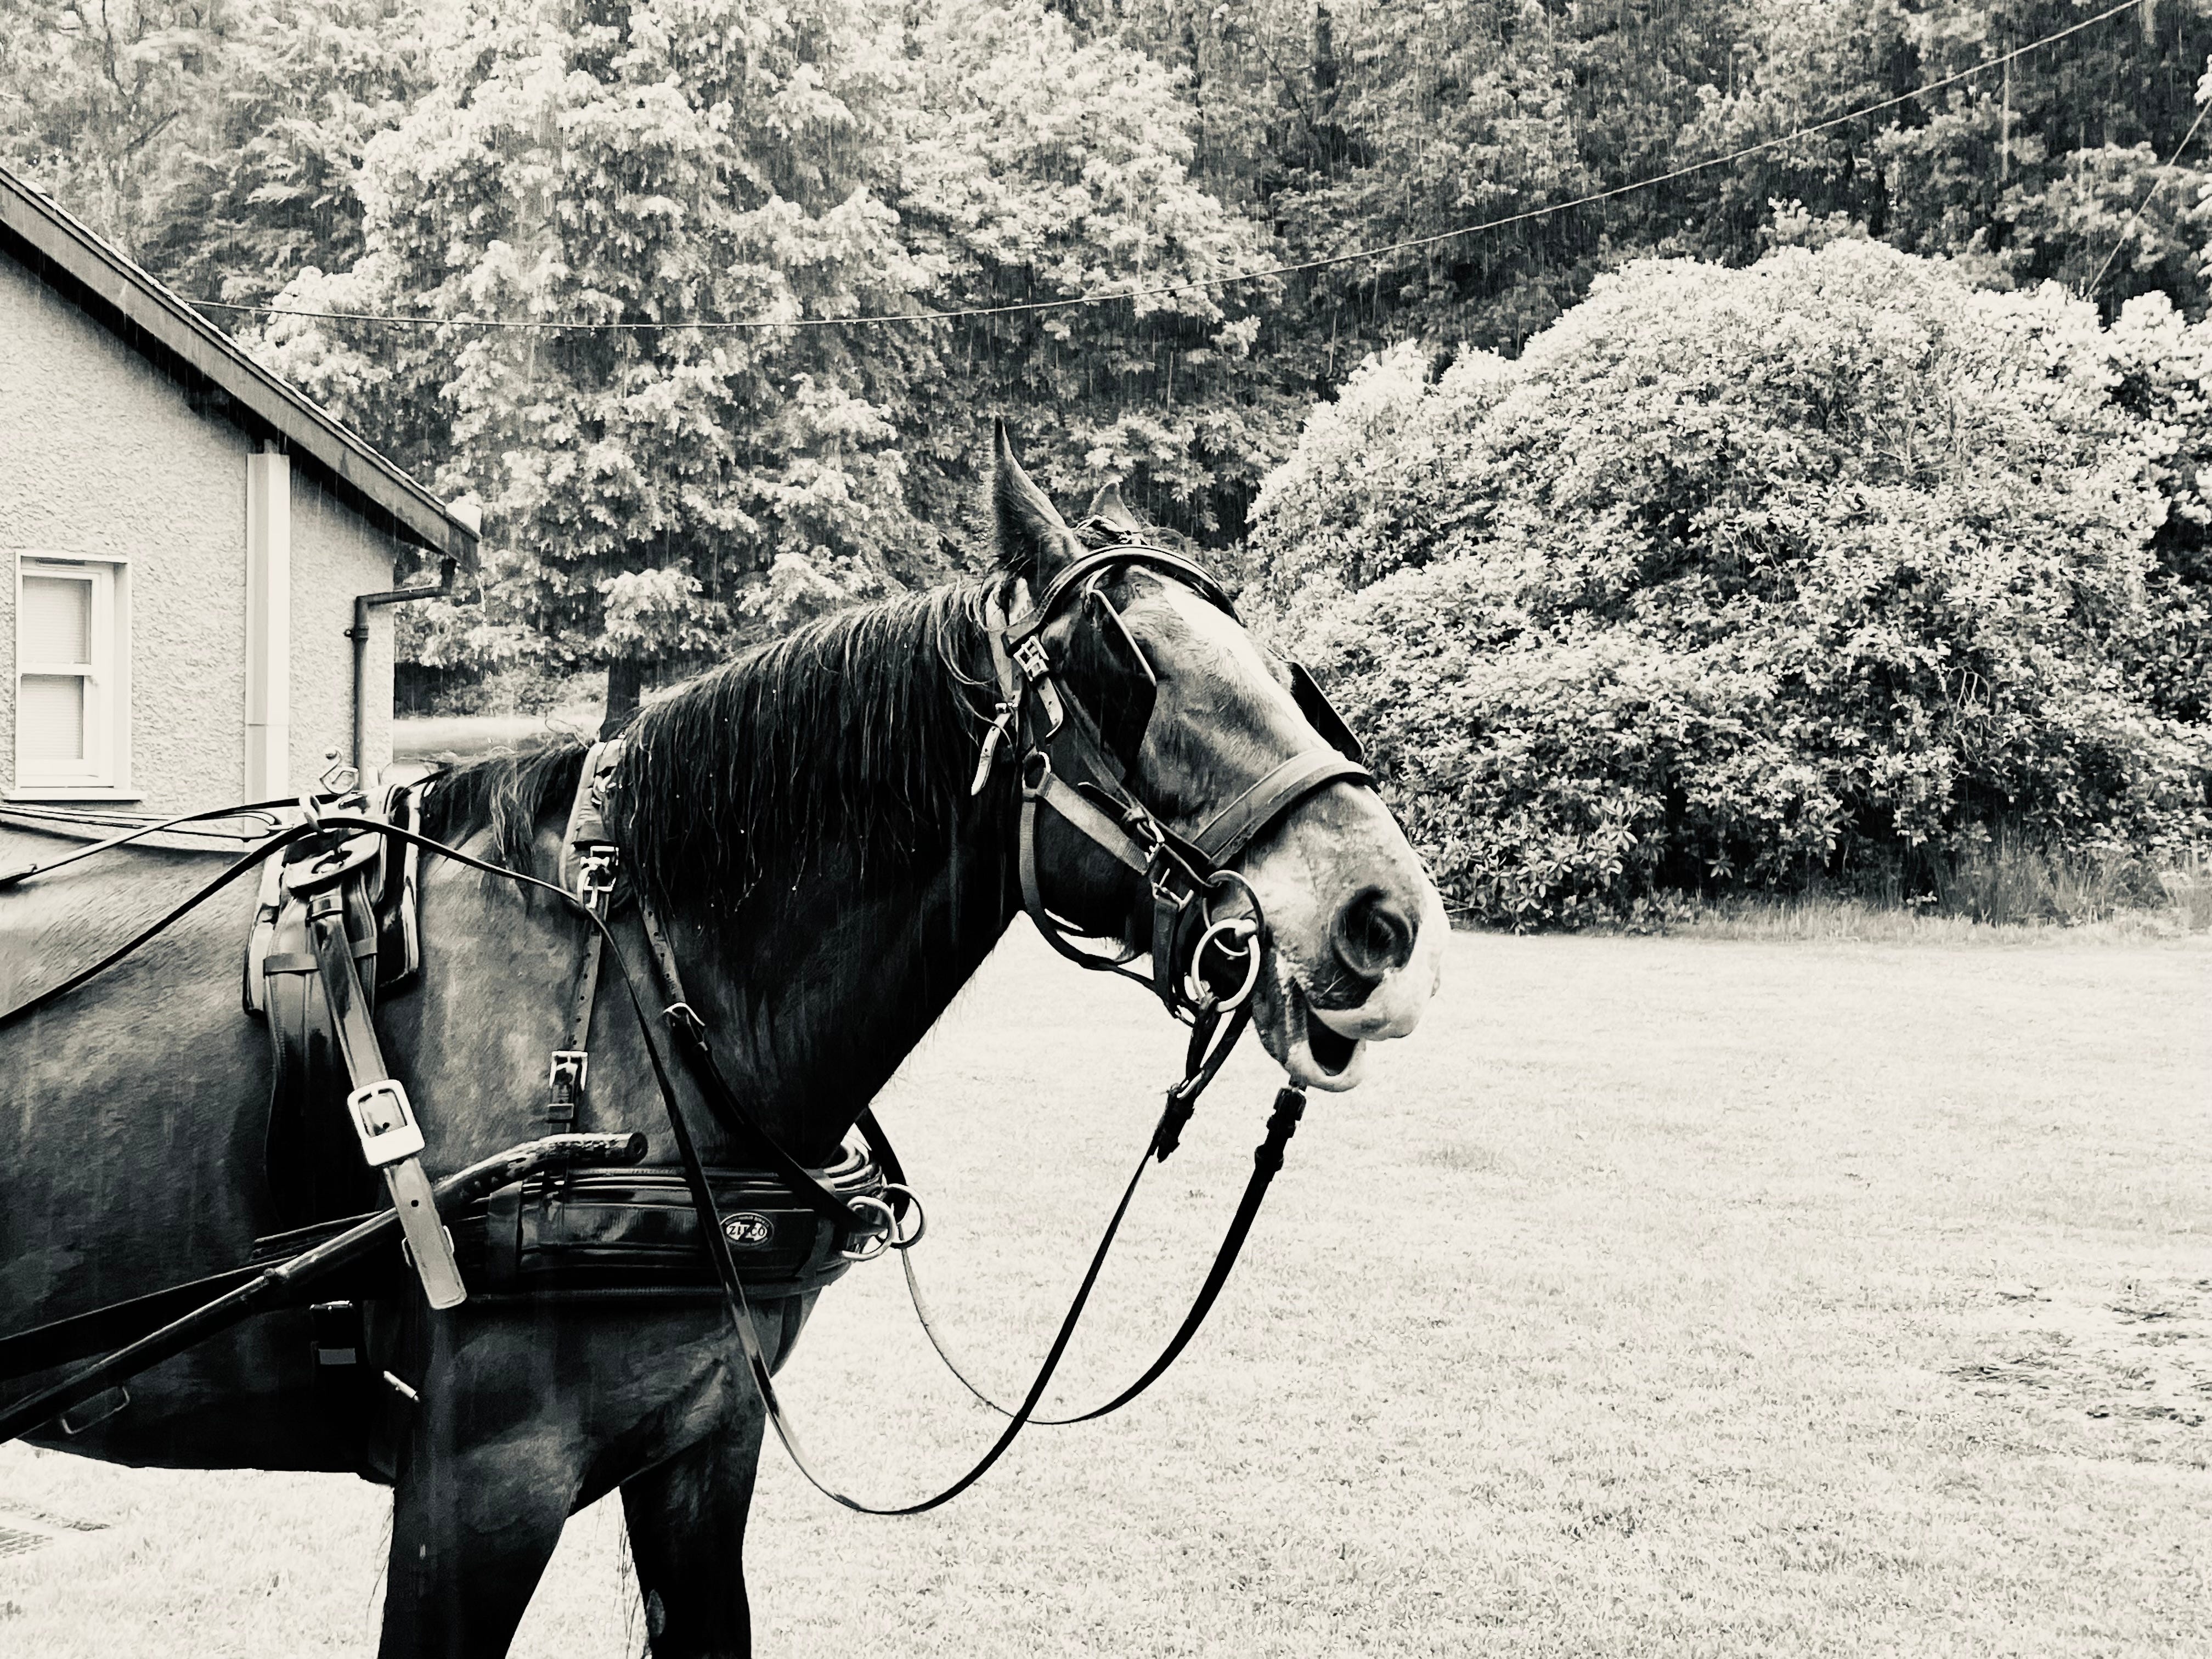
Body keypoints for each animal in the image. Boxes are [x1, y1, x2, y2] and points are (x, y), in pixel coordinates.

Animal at [0, 431, 1445, 1657]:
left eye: (1283, 675)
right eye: (1126, 670)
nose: (1386, 921)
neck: (638, 995)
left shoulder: (705, 1449)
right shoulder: (476, 1484)